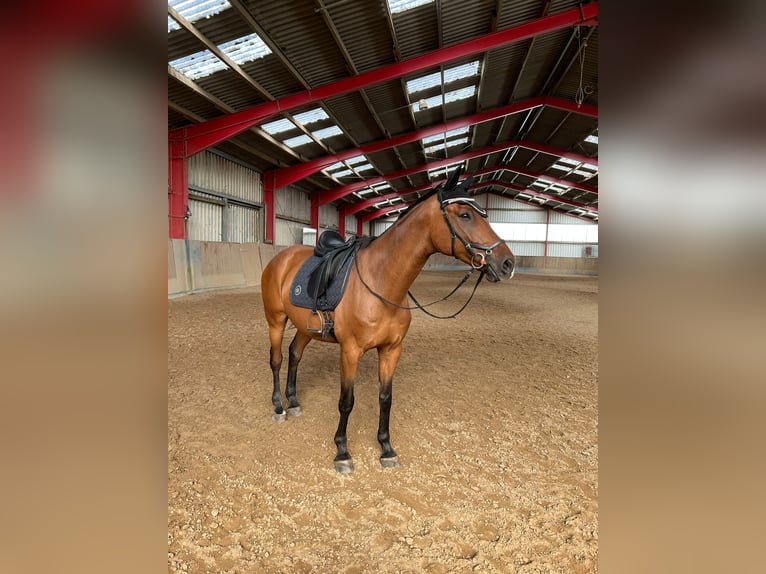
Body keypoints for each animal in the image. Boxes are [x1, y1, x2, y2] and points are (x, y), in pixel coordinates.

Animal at [260, 169, 516, 474]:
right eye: (465, 215)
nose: (507, 263)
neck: (381, 281)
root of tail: (281, 258)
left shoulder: (391, 350)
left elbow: (385, 399)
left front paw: (386, 448)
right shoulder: (350, 352)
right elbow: (347, 401)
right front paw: (342, 452)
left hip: (305, 327)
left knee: (294, 354)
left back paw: (294, 401)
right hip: (276, 321)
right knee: (276, 360)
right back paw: (278, 407)